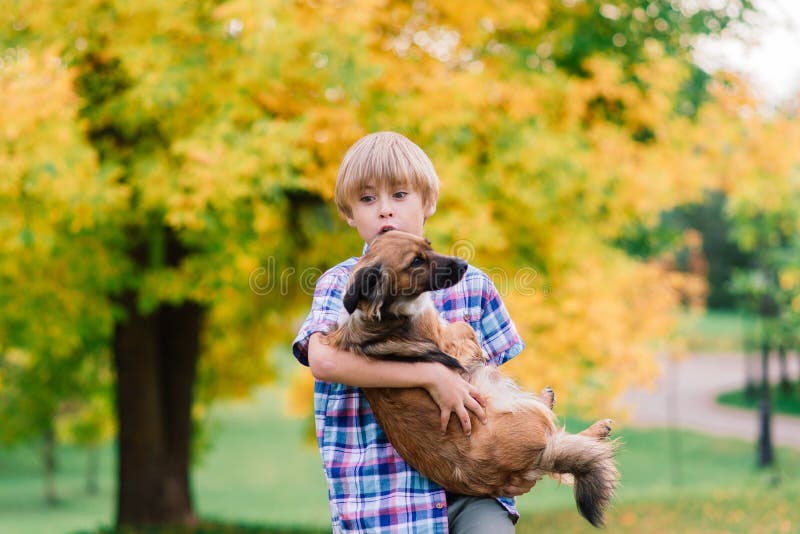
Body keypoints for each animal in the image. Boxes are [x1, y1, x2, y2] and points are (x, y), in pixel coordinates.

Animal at [320, 232, 620, 528]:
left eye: (428, 244)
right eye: (416, 261)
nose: (464, 265)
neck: (382, 309)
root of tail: (533, 462)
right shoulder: (445, 337)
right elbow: (464, 328)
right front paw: (477, 353)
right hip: (522, 411)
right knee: (558, 431)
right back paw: (590, 424)